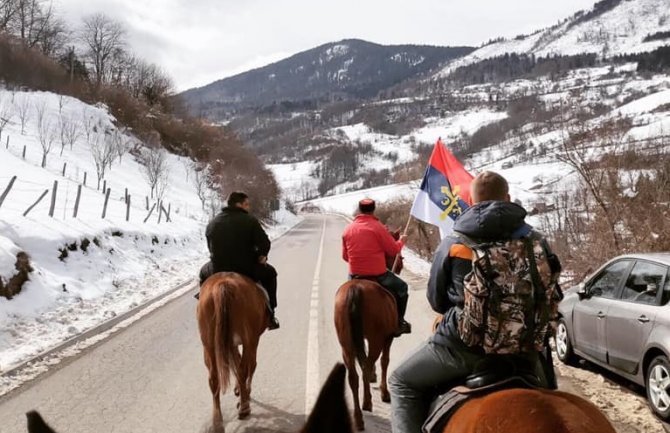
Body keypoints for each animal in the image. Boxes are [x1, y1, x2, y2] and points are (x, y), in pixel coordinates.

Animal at [197, 272, 270, 426]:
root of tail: (222, 285)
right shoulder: (252, 340)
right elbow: (248, 365)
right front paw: (245, 393)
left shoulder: (232, 344)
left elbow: (236, 362)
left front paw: (239, 390)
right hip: (249, 339)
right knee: (245, 368)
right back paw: (244, 407)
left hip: (209, 345)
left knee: (214, 378)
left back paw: (218, 421)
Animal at [334, 276, 396, 428]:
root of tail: (355, 289)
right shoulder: (388, 338)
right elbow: (384, 361)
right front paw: (384, 393)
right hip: (376, 340)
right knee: (366, 368)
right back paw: (367, 403)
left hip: (346, 345)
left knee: (353, 376)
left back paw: (358, 418)